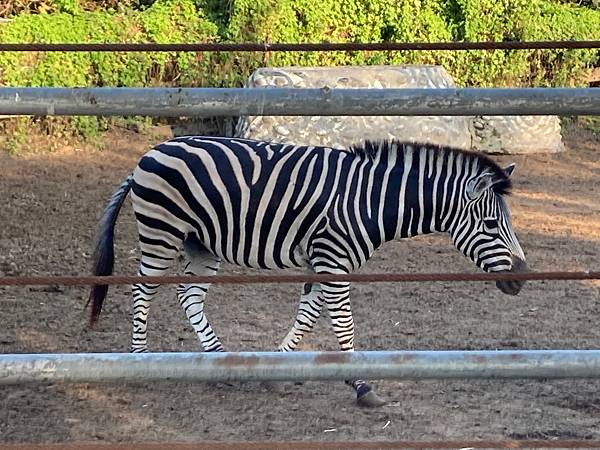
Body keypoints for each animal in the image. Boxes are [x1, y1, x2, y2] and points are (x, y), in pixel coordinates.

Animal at [86, 136, 528, 408]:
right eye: (492, 225)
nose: (522, 277)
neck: (372, 201)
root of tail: (152, 152)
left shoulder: (325, 260)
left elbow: (308, 316)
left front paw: (275, 369)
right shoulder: (333, 258)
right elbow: (344, 324)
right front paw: (362, 384)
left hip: (201, 242)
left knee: (188, 295)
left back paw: (220, 359)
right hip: (162, 232)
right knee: (142, 291)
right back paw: (140, 362)